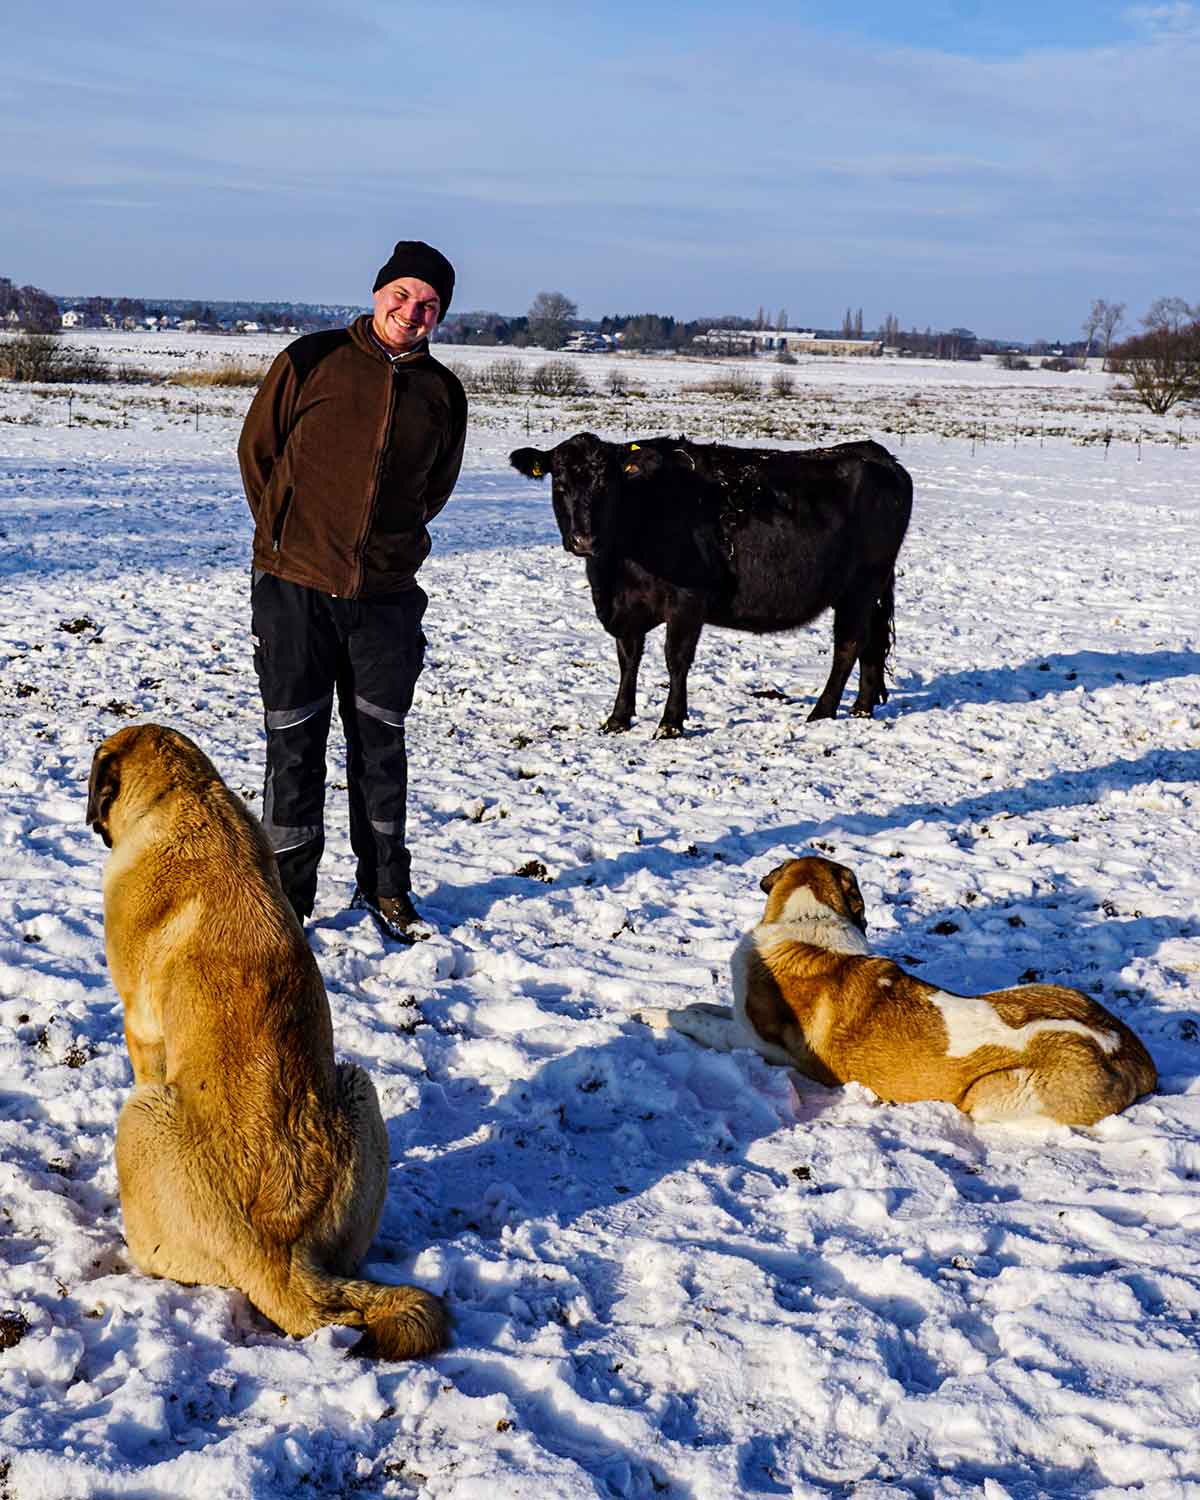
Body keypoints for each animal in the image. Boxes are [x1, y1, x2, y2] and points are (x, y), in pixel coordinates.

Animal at [510, 432, 913, 738]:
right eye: (560, 485)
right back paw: (861, 708)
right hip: (871, 590)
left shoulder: (688, 600)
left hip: (861, 585)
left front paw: (670, 724)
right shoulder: (627, 608)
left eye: (606, 486)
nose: (584, 540)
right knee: (871, 643)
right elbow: (628, 659)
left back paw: (822, 712)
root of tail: (874, 453)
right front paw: (618, 718)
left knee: (848, 644)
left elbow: (675, 659)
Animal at [638, 855, 1157, 1126]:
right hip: (1046, 989)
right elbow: (703, 1004)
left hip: (990, 1095)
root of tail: (1128, 1051)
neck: (809, 921)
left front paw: (650, 1014)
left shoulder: (755, 1043)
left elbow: (695, 1016)